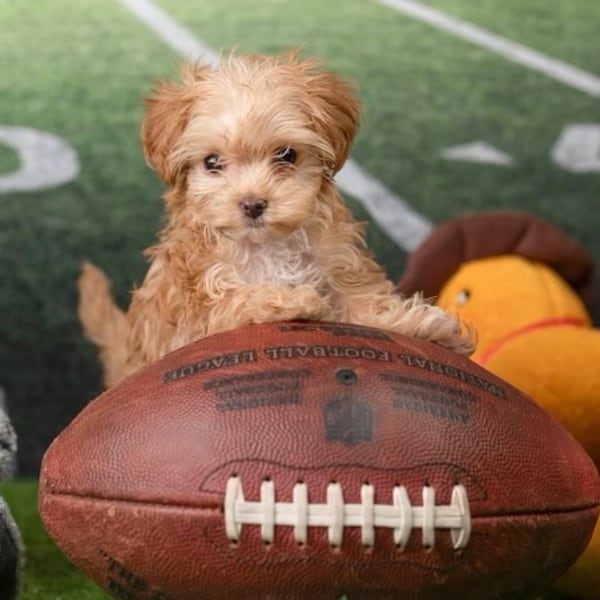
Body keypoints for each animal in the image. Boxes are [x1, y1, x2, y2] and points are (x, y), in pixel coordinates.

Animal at [79, 52, 474, 390]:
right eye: (211, 162)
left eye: (286, 155)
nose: (253, 204)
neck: (268, 244)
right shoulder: (199, 308)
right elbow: (238, 301)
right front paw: (292, 300)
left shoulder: (341, 267)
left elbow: (365, 303)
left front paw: (422, 325)